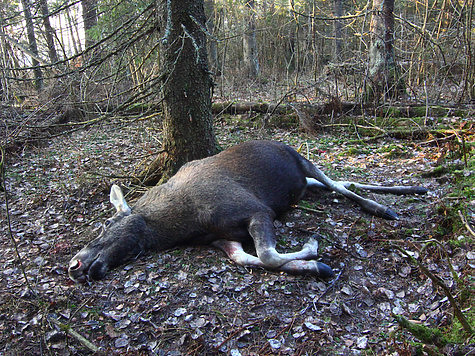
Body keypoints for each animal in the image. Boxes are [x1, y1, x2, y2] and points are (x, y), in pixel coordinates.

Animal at [68, 140, 428, 282]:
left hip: (303, 160)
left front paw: (312, 248)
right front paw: (314, 266)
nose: (74, 265)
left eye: (106, 223)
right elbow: (250, 260)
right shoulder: (222, 239)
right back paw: (412, 189)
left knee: (340, 186)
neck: (184, 223)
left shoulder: (256, 210)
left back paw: (384, 206)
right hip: (305, 181)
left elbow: (267, 254)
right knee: (342, 181)